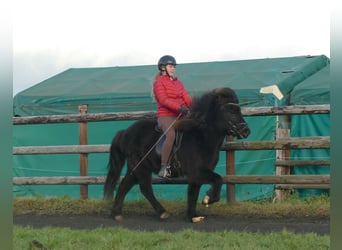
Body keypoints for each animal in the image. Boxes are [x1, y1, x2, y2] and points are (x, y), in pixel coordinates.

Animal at [103, 87, 250, 222]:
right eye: (230, 110)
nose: (246, 131)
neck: (201, 137)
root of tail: (125, 132)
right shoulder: (198, 171)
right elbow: (218, 180)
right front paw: (208, 199)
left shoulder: (197, 175)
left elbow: (193, 193)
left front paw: (193, 216)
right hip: (140, 167)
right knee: (144, 188)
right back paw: (161, 212)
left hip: (136, 167)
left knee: (126, 185)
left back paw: (117, 213)